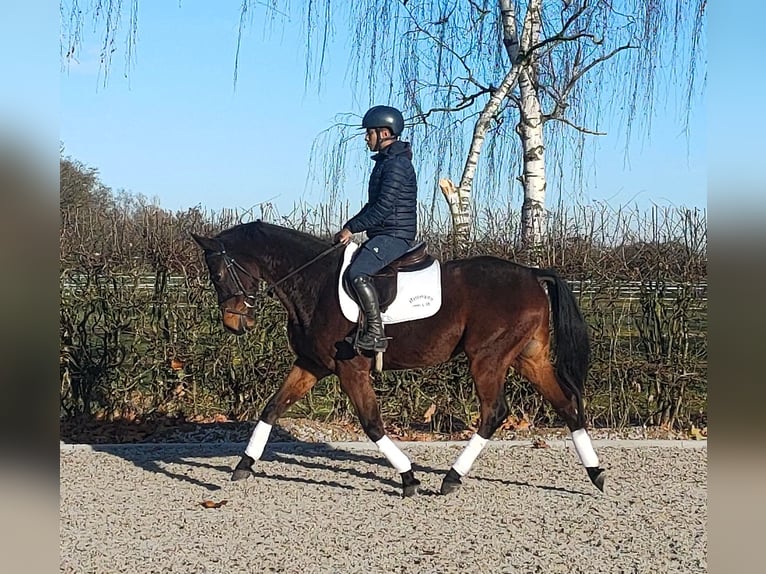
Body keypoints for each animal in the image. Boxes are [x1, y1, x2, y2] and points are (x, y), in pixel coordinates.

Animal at [190, 222, 608, 500]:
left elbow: (372, 424)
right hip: (528, 359)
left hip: (487, 358)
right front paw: (243, 465)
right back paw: (596, 474)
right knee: (566, 405)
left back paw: (451, 478)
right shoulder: (312, 364)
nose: (234, 324)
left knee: (494, 413)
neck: (313, 282)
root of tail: (534, 274)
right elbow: (272, 408)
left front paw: (408, 478)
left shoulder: (350, 369)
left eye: (219, 271)